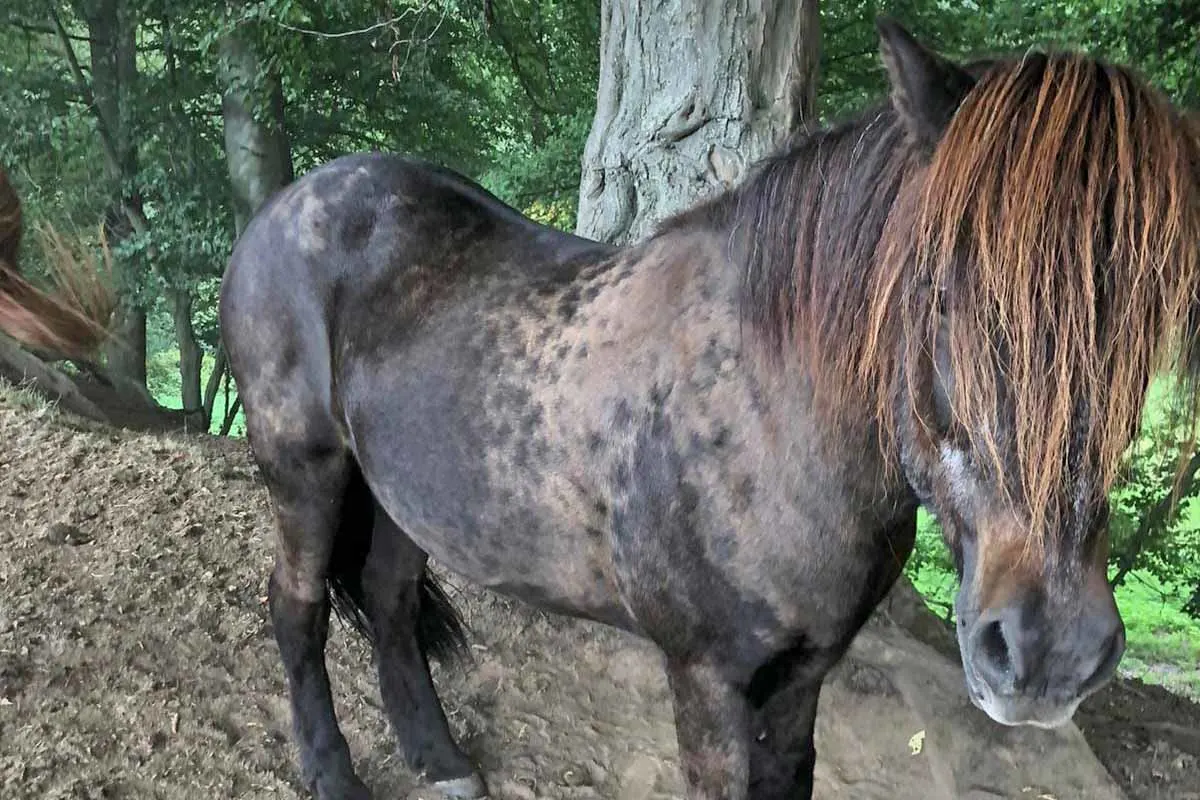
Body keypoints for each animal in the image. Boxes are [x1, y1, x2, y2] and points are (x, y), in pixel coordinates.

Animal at [219, 19, 1200, 800]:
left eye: (1148, 322)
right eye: (941, 292)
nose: (1047, 651)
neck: (770, 417)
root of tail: (287, 205)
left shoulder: (803, 677)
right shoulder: (706, 680)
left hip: (400, 495)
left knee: (387, 601)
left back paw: (442, 760)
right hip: (304, 469)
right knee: (296, 606)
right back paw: (332, 774)